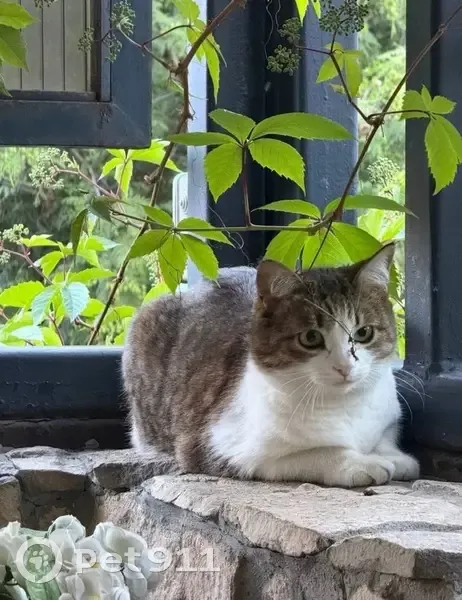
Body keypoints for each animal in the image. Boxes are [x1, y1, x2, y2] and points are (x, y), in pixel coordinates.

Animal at [122, 242, 420, 488]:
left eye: (363, 333)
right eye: (311, 337)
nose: (344, 366)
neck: (345, 407)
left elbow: (384, 438)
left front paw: (395, 457)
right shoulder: (219, 447)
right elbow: (316, 453)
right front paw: (359, 462)